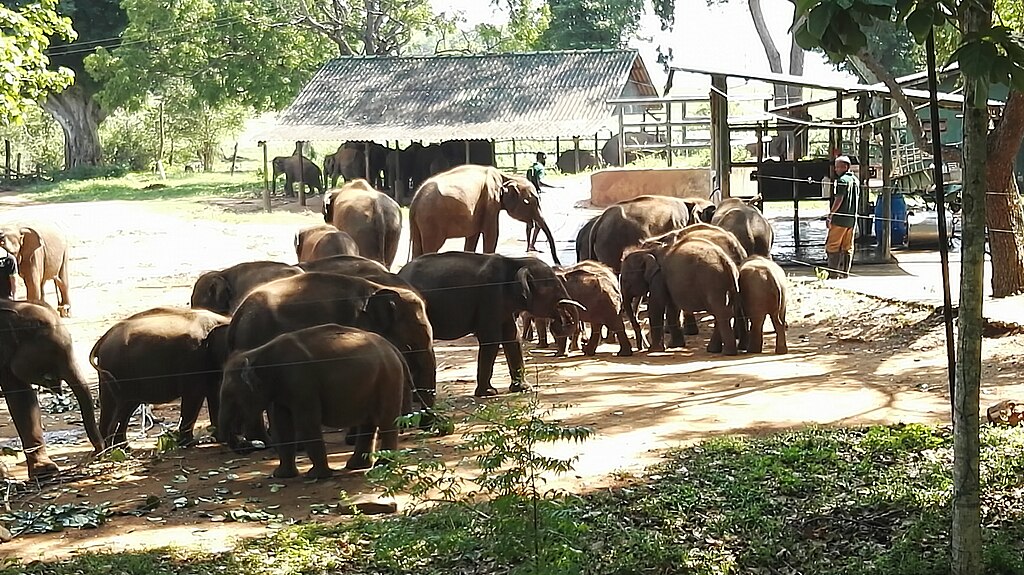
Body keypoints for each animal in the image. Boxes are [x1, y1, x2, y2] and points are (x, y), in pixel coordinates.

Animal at [90, 306, 232, 446]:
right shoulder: (195, 358)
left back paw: (123, 447)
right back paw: (109, 449)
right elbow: (194, 396)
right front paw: (190, 442)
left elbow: (214, 394)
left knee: (126, 407)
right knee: (115, 407)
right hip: (114, 369)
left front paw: (218, 438)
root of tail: (103, 339)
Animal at [220, 323, 411, 478]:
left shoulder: (302, 382)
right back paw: (357, 466)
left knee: (386, 421)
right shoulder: (281, 391)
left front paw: (317, 476)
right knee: (369, 423)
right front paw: (281, 475)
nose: (245, 447)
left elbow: (306, 422)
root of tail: (392, 347)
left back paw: (382, 466)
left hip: (389, 379)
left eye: (230, 396)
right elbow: (282, 425)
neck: (258, 353)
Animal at [395, 252, 585, 396]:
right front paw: (488, 393)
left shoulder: (504, 306)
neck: (516, 261)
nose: (558, 322)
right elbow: (491, 339)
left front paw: (524, 389)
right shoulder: (490, 297)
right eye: (554, 287)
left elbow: (512, 337)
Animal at [407, 163, 561, 263]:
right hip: (431, 222)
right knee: (431, 247)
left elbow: (472, 237)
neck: (506, 177)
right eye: (529, 202)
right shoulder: (490, 201)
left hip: (418, 224)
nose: (557, 262)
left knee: (417, 248)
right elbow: (492, 234)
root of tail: (415, 201)